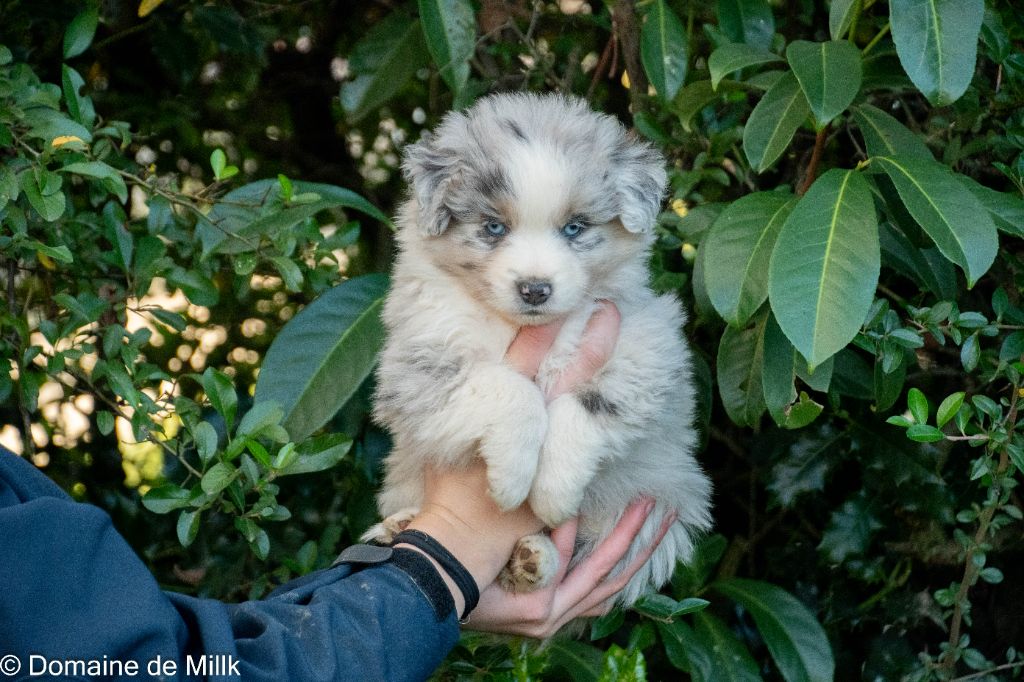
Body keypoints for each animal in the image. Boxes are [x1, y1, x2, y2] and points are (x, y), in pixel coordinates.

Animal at [364, 93, 712, 609]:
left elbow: (584, 406)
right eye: (493, 227)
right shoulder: (418, 362)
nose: (534, 289)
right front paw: (512, 478)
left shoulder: (650, 346)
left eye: (574, 228)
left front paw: (552, 491)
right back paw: (400, 528)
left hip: (656, 498)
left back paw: (532, 559)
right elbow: (511, 389)